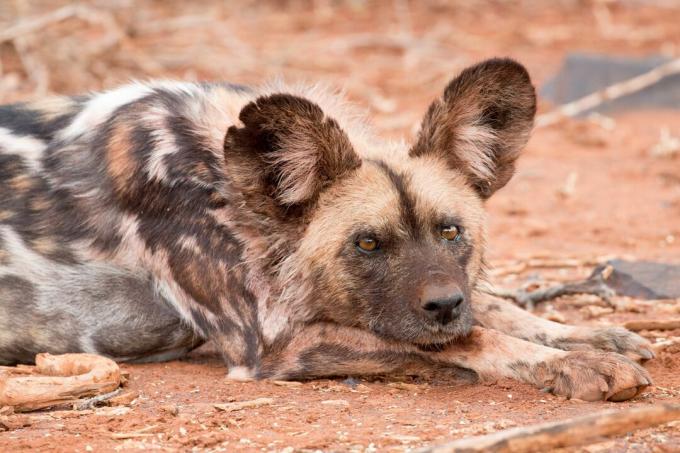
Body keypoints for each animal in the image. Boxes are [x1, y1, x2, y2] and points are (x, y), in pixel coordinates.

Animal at [1, 59, 652, 400]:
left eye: (450, 232)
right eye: (367, 243)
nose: (443, 304)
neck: (224, 181)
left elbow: (494, 309)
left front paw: (587, 337)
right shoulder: (271, 345)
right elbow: (470, 339)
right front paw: (575, 365)